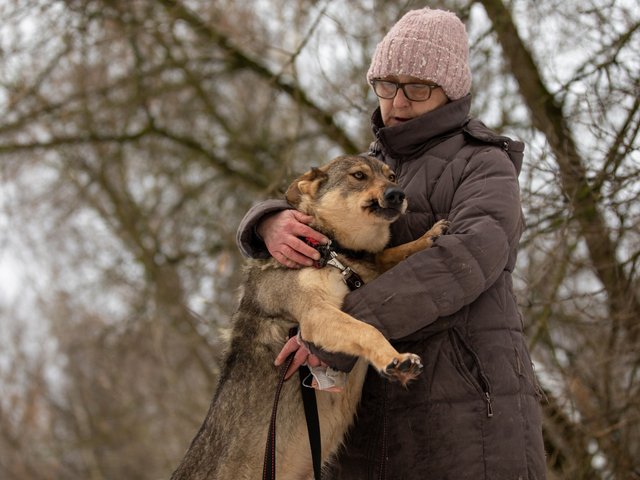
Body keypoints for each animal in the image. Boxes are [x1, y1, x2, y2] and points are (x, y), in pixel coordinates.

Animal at [172, 156, 448, 478]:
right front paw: (395, 359)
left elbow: (388, 255)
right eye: (358, 176)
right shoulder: (316, 316)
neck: (330, 250)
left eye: (391, 176)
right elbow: (368, 330)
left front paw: (427, 238)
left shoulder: (364, 274)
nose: (398, 194)